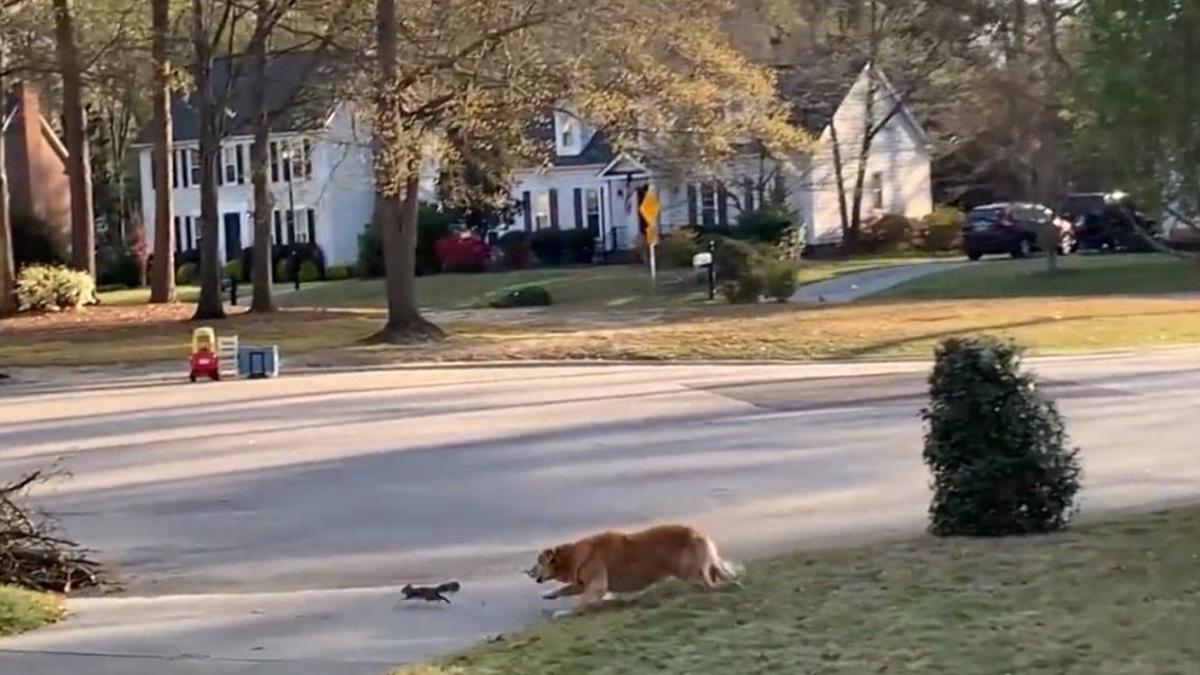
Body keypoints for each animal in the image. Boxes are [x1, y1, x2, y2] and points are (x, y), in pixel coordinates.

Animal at [528, 523, 739, 612]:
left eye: (538, 562)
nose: (528, 572)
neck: (572, 556)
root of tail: (699, 534)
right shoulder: (581, 583)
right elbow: (566, 589)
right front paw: (549, 594)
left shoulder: (596, 584)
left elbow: (583, 600)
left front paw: (566, 612)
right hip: (705, 566)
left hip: (689, 570)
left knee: (709, 584)